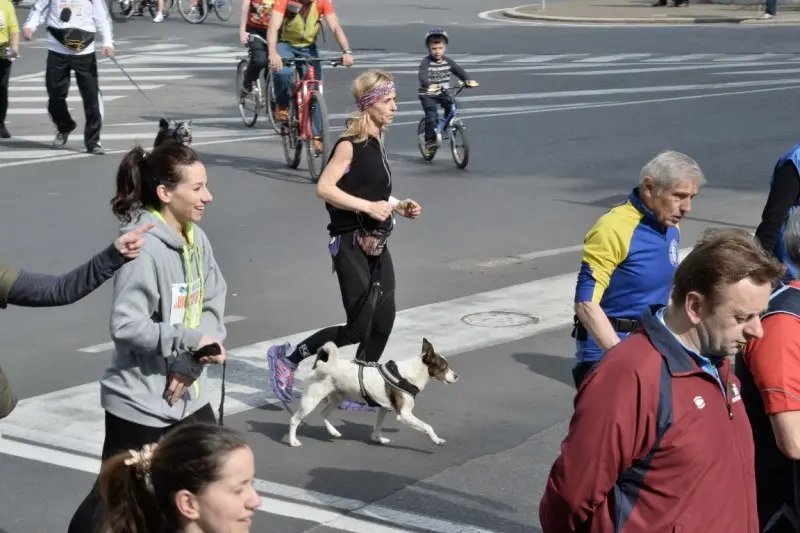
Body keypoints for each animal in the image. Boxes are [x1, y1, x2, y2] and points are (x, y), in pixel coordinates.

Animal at [290, 338, 460, 446]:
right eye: (444, 367)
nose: (456, 376)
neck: (409, 374)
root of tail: (319, 365)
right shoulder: (404, 414)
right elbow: (427, 426)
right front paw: (436, 440)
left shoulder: (384, 408)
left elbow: (378, 426)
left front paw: (378, 439)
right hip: (310, 401)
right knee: (294, 420)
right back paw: (293, 441)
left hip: (338, 398)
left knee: (324, 413)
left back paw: (333, 432)